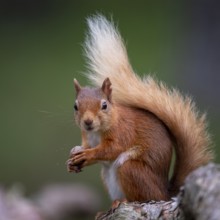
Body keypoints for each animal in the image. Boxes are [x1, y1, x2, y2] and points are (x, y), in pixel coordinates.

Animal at [65, 14, 213, 202]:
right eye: (75, 106)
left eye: (104, 105)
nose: (88, 122)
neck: (96, 132)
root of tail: (165, 193)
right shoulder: (87, 138)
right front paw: (73, 158)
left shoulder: (123, 131)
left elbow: (112, 149)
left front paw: (87, 154)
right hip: (107, 176)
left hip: (131, 169)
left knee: (142, 194)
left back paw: (124, 201)